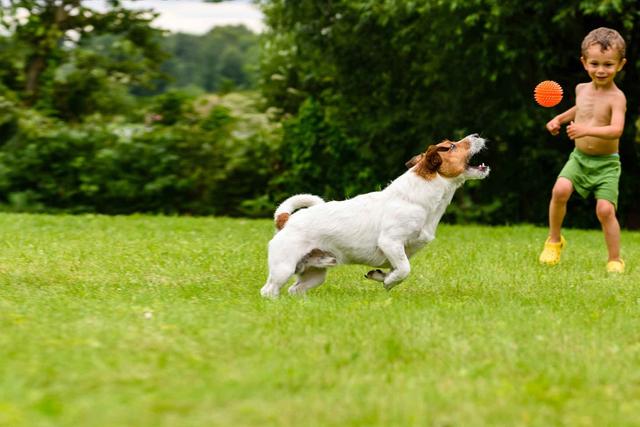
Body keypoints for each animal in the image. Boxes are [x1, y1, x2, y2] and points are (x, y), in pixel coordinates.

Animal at [260, 134, 490, 298]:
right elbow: (404, 269)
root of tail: (285, 220)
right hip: (284, 267)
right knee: (269, 290)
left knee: (295, 289)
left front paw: (380, 276)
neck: (418, 198)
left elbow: (397, 268)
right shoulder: (391, 242)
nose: (477, 134)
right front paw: (388, 281)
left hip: (315, 273)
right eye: (451, 146)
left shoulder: (400, 250)